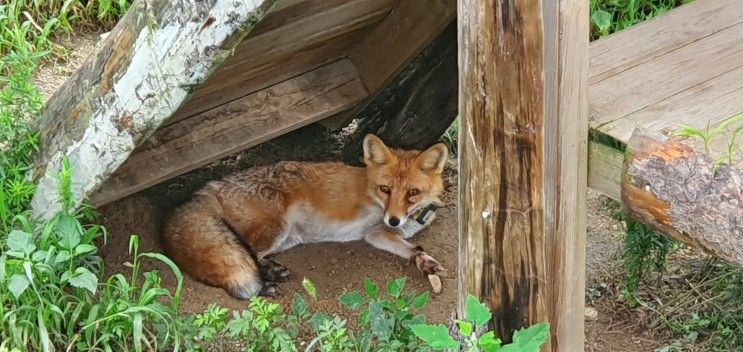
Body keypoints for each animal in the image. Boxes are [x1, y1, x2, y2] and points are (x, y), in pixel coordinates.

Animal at [164, 133, 448, 298]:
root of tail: (209, 188)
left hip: (289, 237)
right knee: (247, 252)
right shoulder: (374, 226)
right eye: (385, 189)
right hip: (275, 229)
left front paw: (425, 262)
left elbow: (412, 249)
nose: (394, 219)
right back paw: (266, 281)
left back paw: (272, 271)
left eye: (412, 192)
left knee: (253, 254)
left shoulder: (376, 234)